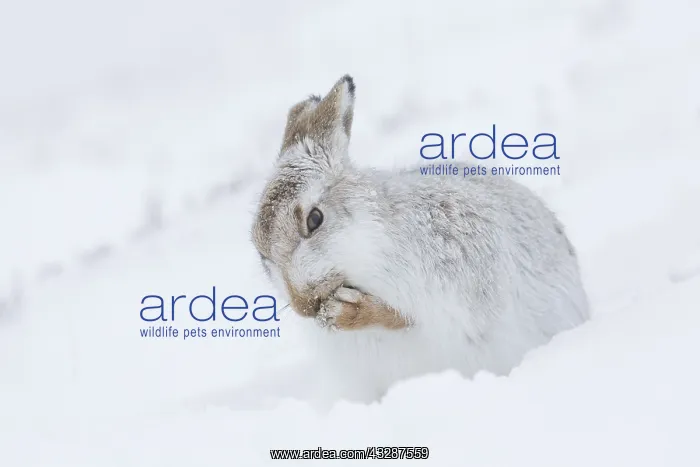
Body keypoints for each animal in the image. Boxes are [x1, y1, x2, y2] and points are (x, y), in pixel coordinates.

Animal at [250, 75, 590, 402]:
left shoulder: (444, 297)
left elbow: (405, 318)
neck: (364, 245)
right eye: (261, 253)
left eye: (315, 219)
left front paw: (346, 312)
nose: (303, 306)